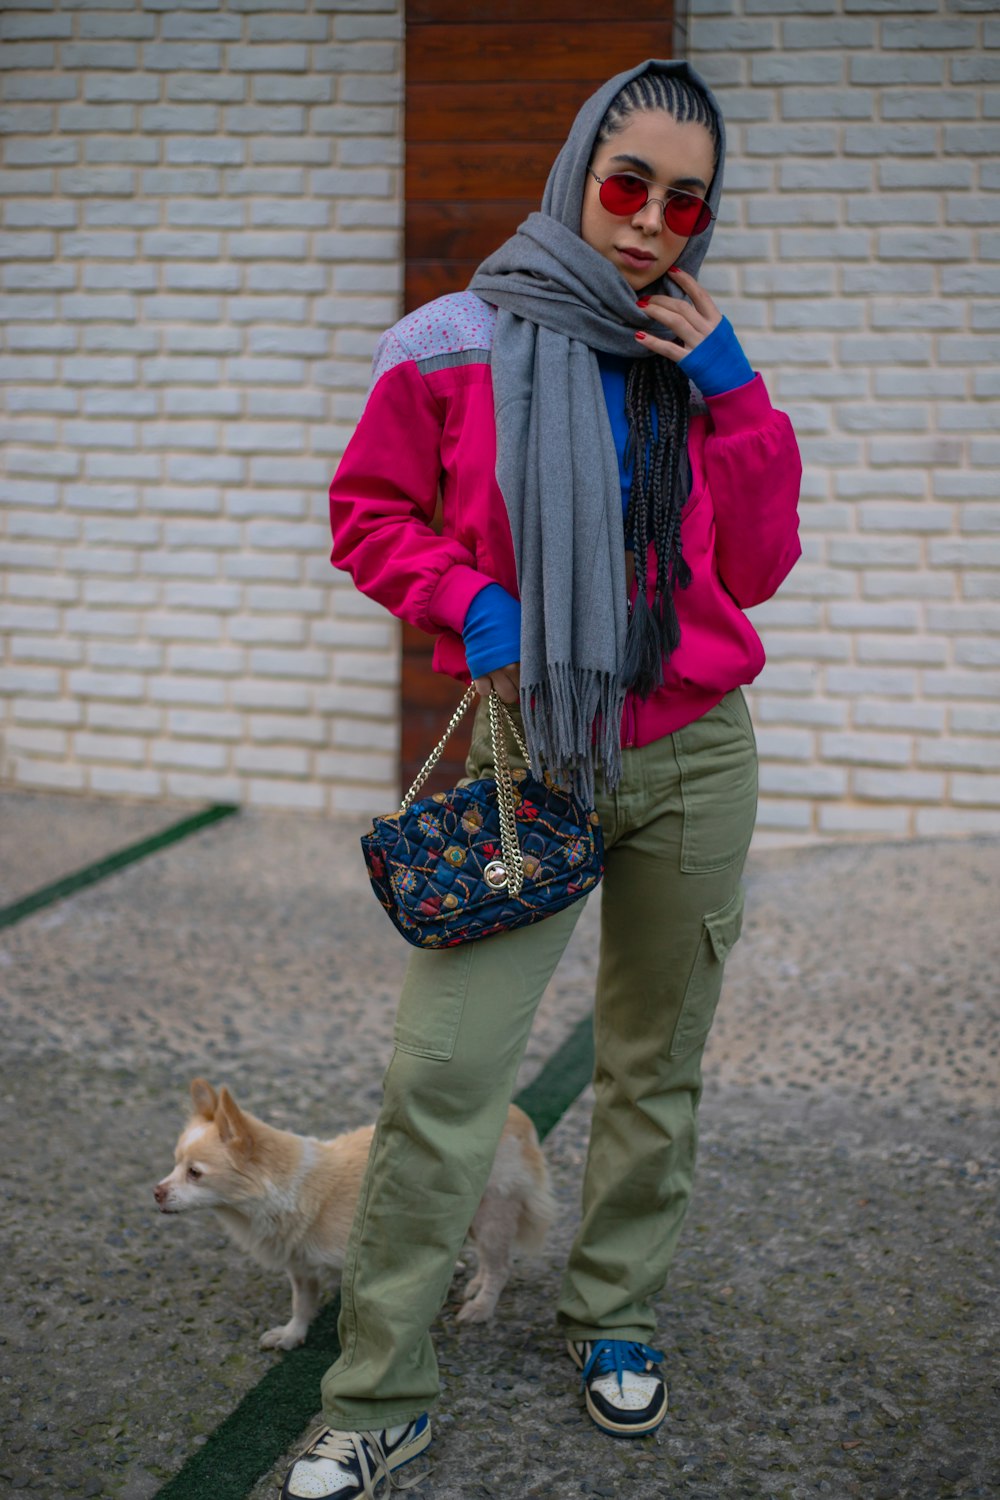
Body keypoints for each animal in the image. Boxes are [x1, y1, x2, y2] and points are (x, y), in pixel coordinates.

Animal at [154, 1080, 554, 1350]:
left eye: (195, 1173)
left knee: (501, 1266)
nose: (155, 1192)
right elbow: (302, 1304)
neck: (290, 1187)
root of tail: (517, 1116)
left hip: (491, 1214)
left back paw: (482, 1306)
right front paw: (292, 1335)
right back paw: (474, 1284)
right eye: (173, 1164)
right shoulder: (300, 1268)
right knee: (487, 1260)